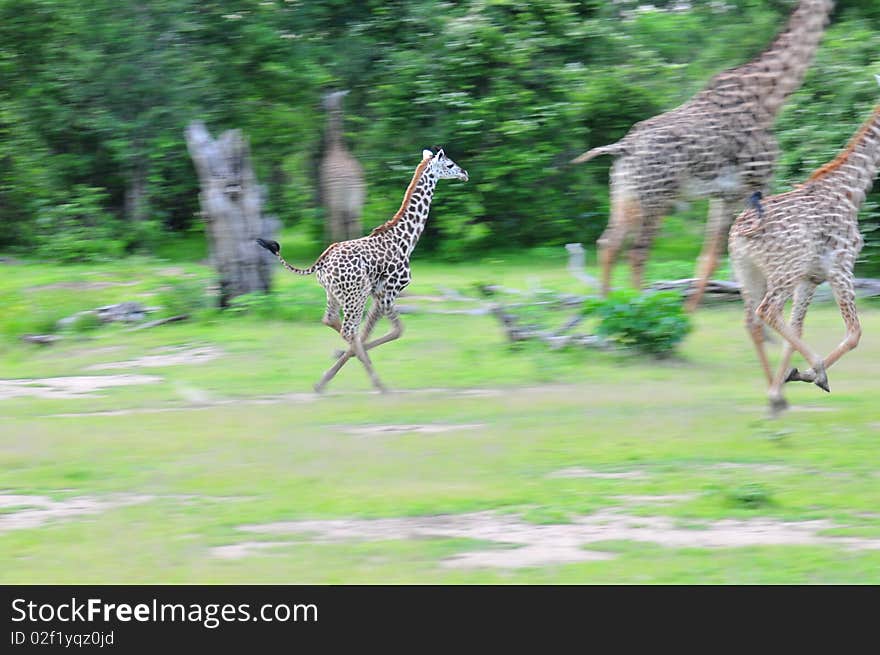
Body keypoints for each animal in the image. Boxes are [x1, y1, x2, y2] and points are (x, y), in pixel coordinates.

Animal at [258, 148, 470, 392]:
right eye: (450, 164)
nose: (465, 174)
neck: (407, 239)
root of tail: (321, 263)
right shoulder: (388, 291)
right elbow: (392, 330)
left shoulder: (379, 292)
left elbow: (384, 330)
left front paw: (334, 366)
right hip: (355, 295)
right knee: (349, 330)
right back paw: (377, 383)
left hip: (335, 294)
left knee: (331, 321)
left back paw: (331, 377)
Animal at [320, 89, 364, 243]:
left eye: (327, 99)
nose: (322, 104)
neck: (336, 147)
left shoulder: (326, 198)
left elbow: (328, 223)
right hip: (357, 201)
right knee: (355, 223)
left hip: (337, 200)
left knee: (336, 224)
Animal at [572, 0, 832, 312]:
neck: (771, 96)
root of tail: (623, 148)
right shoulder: (759, 182)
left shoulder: (725, 194)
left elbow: (709, 257)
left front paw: (691, 310)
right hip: (656, 197)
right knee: (637, 251)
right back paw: (639, 307)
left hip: (625, 193)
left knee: (608, 243)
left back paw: (605, 306)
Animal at [728, 86, 880, 416]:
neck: (852, 191)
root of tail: (739, 233)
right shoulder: (840, 266)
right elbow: (854, 333)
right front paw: (812, 373)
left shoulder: (810, 279)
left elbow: (796, 330)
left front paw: (787, 379)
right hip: (783, 271)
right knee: (767, 311)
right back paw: (791, 385)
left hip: (749, 273)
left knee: (752, 321)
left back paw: (775, 396)